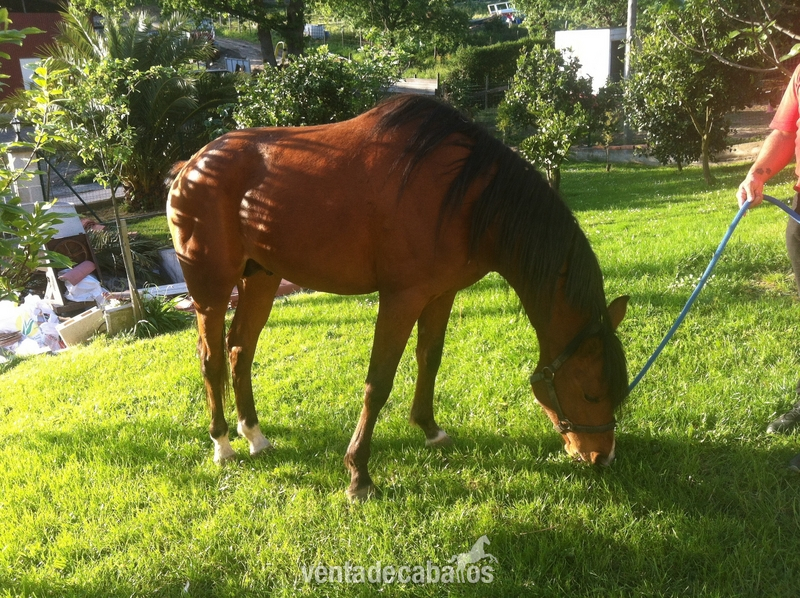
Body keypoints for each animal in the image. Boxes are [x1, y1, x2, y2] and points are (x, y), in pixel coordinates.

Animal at [166, 94, 629, 501]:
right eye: (590, 393)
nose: (603, 457)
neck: (466, 197)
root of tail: (192, 164)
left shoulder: (441, 294)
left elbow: (430, 358)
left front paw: (429, 428)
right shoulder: (400, 299)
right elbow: (378, 382)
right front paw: (359, 475)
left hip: (261, 279)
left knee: (240, 350)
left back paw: (255, 436)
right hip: (211, 292)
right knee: (211, 359)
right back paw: (223, 444)